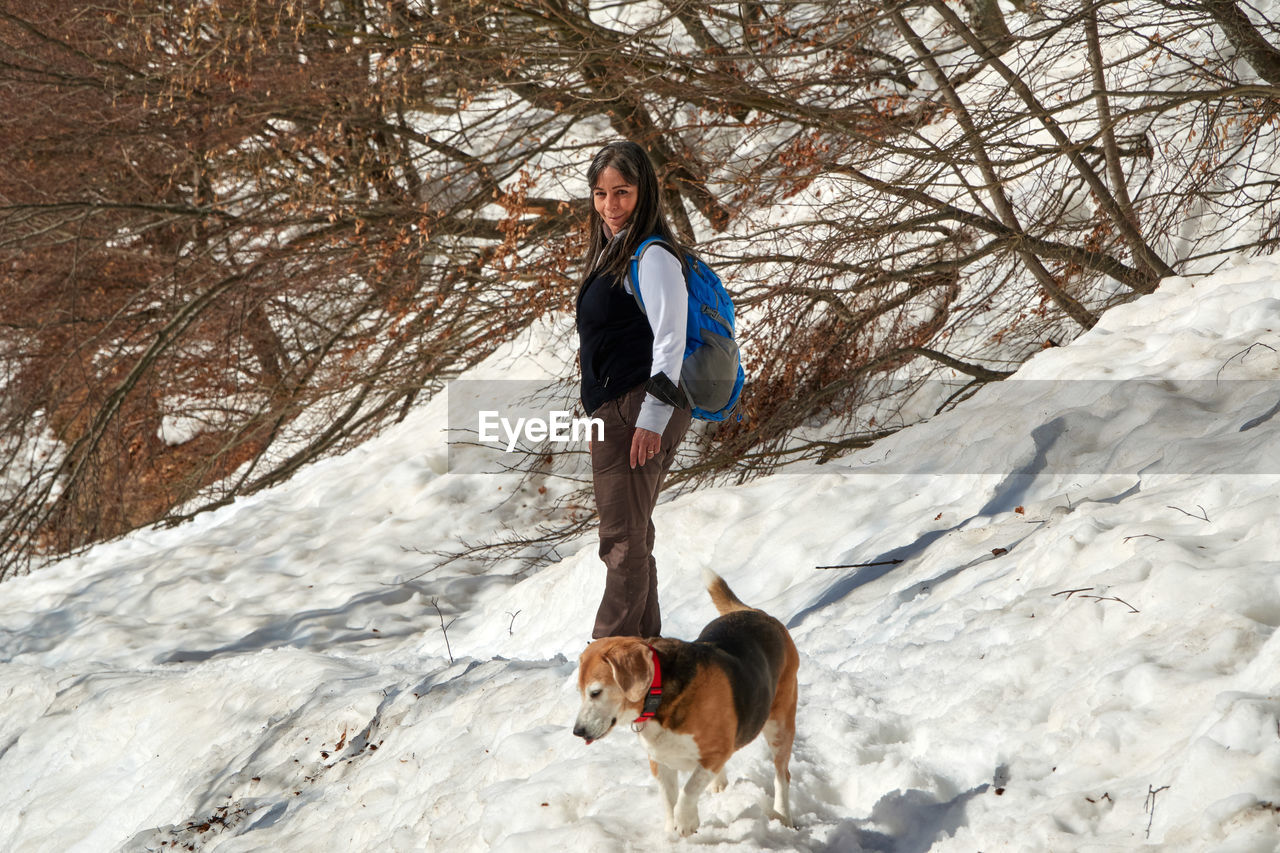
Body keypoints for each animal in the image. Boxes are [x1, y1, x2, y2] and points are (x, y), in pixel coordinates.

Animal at [573, 568, 793, 835]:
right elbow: (669, 799)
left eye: (595, 692)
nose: (577, 731)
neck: (657, 701)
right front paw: (671, 831)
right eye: (580, 692)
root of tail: (756, 613)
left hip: (780, 725)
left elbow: (688, 791)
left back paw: (783, 815)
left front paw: (686, 821)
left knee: (782, 775)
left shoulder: (714, 753)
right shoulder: (660, 762)